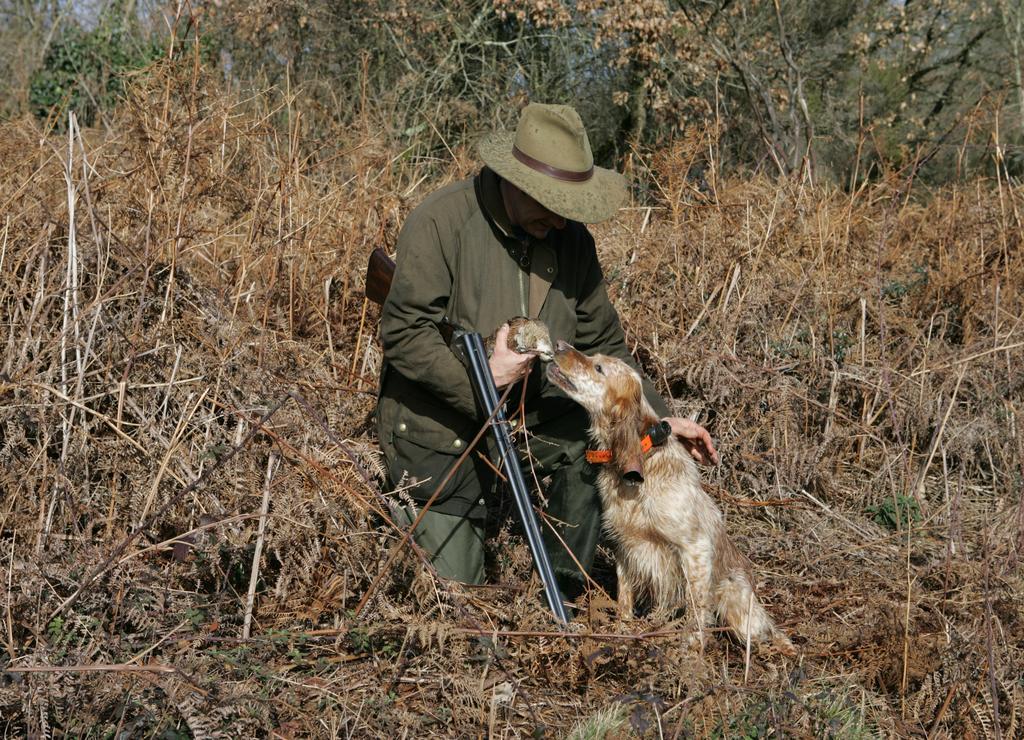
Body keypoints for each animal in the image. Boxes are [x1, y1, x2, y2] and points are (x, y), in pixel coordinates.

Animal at [544, 341, 790, 655]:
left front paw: (690, 650)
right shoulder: (626, 547)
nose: (559, 344)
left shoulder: (695, 549)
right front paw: (623, 635)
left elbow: (696, 611)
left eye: (598, 367)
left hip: (736, 603)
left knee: (768, 634)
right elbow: (624, 599)